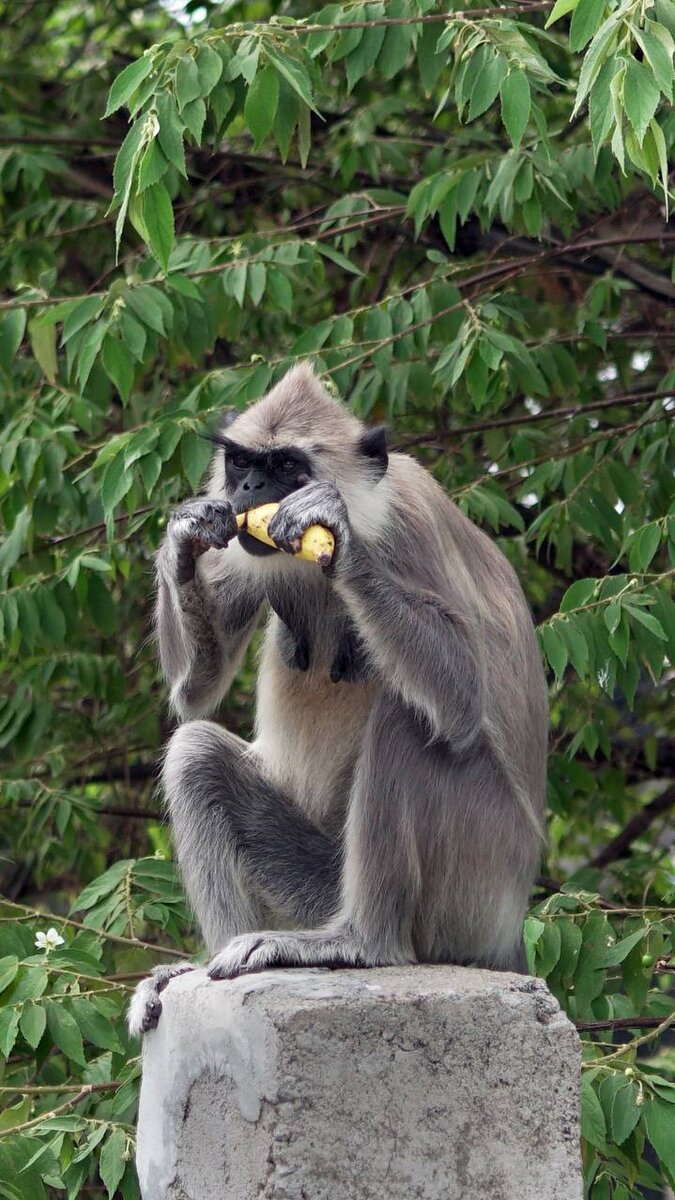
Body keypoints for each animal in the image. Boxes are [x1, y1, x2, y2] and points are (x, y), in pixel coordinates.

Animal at [126, 360, 547, 1036]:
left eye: (287, 466)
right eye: (241, 462)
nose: (249, 488)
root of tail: (509, 929)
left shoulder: (413, 521)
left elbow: (461, 703)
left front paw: (339, 539)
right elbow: (195, 693)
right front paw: (185, 536)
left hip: (477, 881)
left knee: (412, 719)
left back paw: (359, 943)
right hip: (318, 884)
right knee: (195, 753)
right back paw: (211, 962)